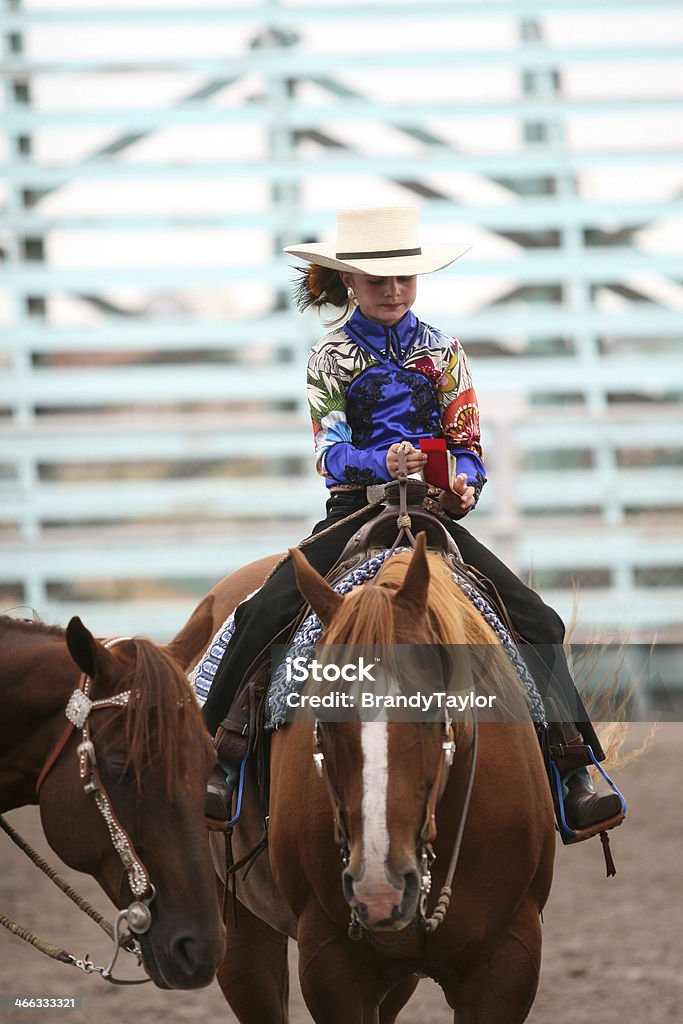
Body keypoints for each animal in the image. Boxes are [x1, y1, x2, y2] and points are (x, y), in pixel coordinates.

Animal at [193, 540, 557, 1019]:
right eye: (323, 718)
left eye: (430, 709)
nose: (379, 887)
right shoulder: (331, 964)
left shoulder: (510, 957)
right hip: (239, 929)